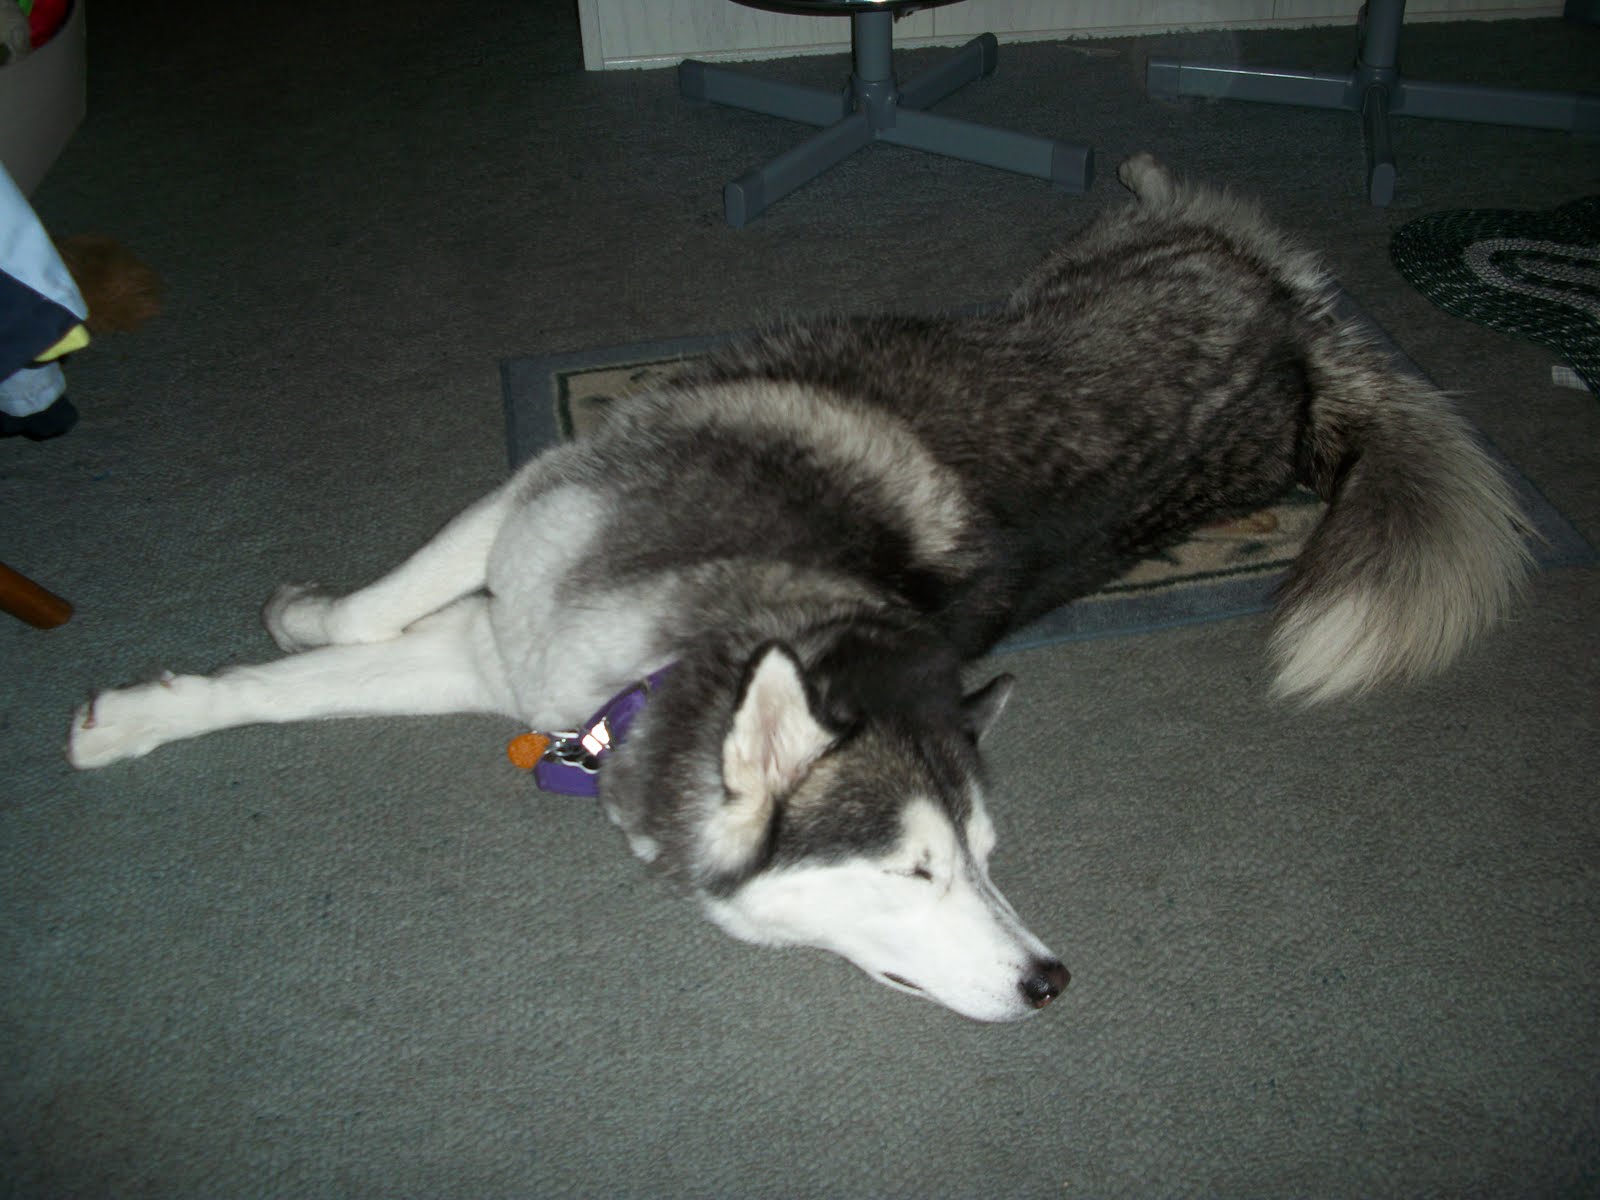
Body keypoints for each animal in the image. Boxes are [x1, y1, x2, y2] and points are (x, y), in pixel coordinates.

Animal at [67, 156, 1531, 1022]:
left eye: (983, 860)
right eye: (915, 869)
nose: (1050, 978)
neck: (657, 673)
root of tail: (1305, 355)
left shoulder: (527, 586)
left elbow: (343, 650)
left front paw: (237, 654)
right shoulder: (534, 530)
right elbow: (325, 653)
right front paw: (169, 701)